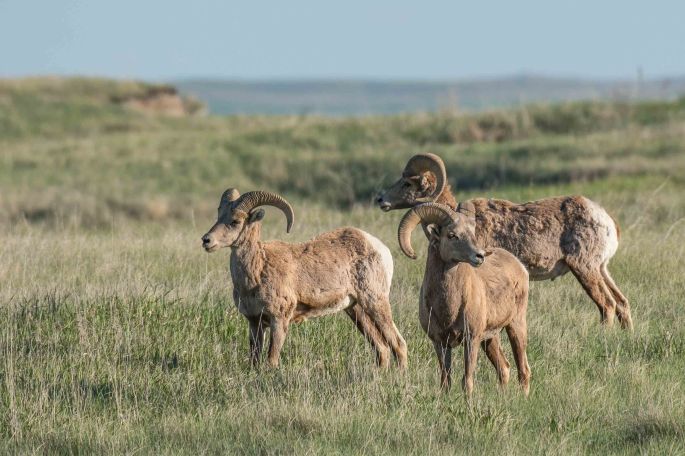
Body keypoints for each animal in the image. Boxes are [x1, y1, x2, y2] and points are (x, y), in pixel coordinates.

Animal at [201, 188, 407, 369]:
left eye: (235, 221)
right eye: (219, 216)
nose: (206, 240)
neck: (256, 275)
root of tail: (379, 248)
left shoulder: (279, 321)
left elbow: (272, 360)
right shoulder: (254, 323)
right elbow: (254, 360)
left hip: (376, 302)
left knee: (398, 344)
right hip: (356, 310)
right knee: (382, 348)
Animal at [377, 153, 632, 329]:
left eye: (407, 183)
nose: (380, 199)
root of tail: (606, 220)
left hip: (585, 269)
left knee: (607, 305)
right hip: (601, 269)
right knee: (622, 303)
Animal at [398, 202, 531, 395]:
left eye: (472, 232)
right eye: (452, 235)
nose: (479, 256)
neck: (449, 308)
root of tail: (520, 266)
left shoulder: (471, 339)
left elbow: (467, 381)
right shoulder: (440, 343)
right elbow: (446, 381)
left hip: (515, 325)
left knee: (524, 370)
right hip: (490, 339)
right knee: (504, 368)